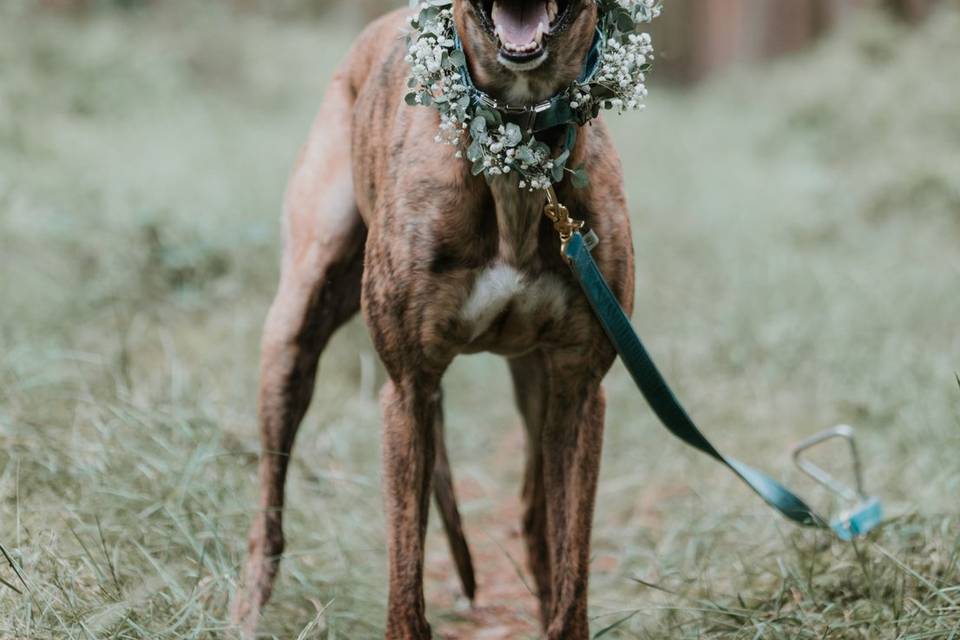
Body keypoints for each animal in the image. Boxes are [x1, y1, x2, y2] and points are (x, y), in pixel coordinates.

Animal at [233, 1, 636, 640]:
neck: (514, 137)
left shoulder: (578, 389)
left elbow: (574, 568)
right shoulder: (409, 389)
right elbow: (405, 574)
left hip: (536, 384)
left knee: (536, 513)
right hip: (293, 332)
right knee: (269, 509)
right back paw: (248, 608)